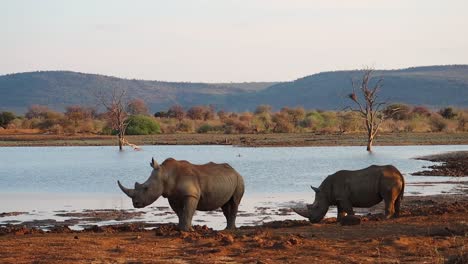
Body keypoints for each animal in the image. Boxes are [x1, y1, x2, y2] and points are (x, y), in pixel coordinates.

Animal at [117, 157, 245, 231]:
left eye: (146, 188)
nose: (135, 204)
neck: (166, 174)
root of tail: (235, 170)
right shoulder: (172, 197)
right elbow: (179, 212)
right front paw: (180, 229)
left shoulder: (191, 195)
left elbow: (188, 211)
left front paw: (188, 231)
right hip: (228, 180)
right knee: (225, 205)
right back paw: (227, 229)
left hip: (239, 179)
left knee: (235, 202)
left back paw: (229, 230)